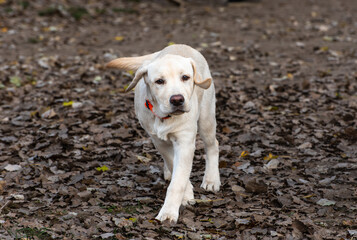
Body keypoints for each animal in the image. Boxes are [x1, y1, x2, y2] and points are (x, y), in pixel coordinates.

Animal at [105, 43, 220, 223]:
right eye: (159, 81)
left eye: (185, 77)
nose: (177, 99)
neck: (165, 117)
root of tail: (180, 45)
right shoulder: (157, 140)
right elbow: (174, 165)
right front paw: (186, 194)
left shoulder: (185, 142)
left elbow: (178, 180)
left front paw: (169, 213)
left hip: (206, 117)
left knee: (213, 145)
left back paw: (211, 179)